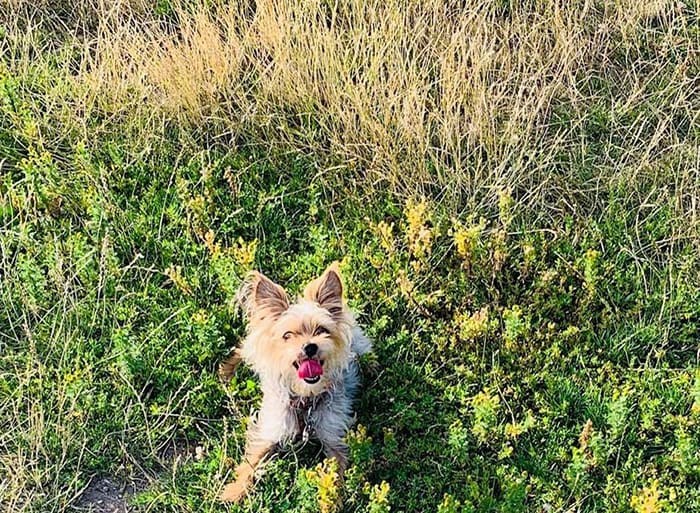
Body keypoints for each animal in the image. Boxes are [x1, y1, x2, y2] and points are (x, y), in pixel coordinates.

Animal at [219, 262, 372, 502]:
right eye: (287, 335)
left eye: (322, 330)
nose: (310, 346)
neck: (306, 399)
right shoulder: (271, 428)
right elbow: (252, 460)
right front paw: (235, 490)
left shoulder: (333, 434)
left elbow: (335, 473)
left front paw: (333, 501)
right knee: (241, 348)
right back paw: (226, 372)